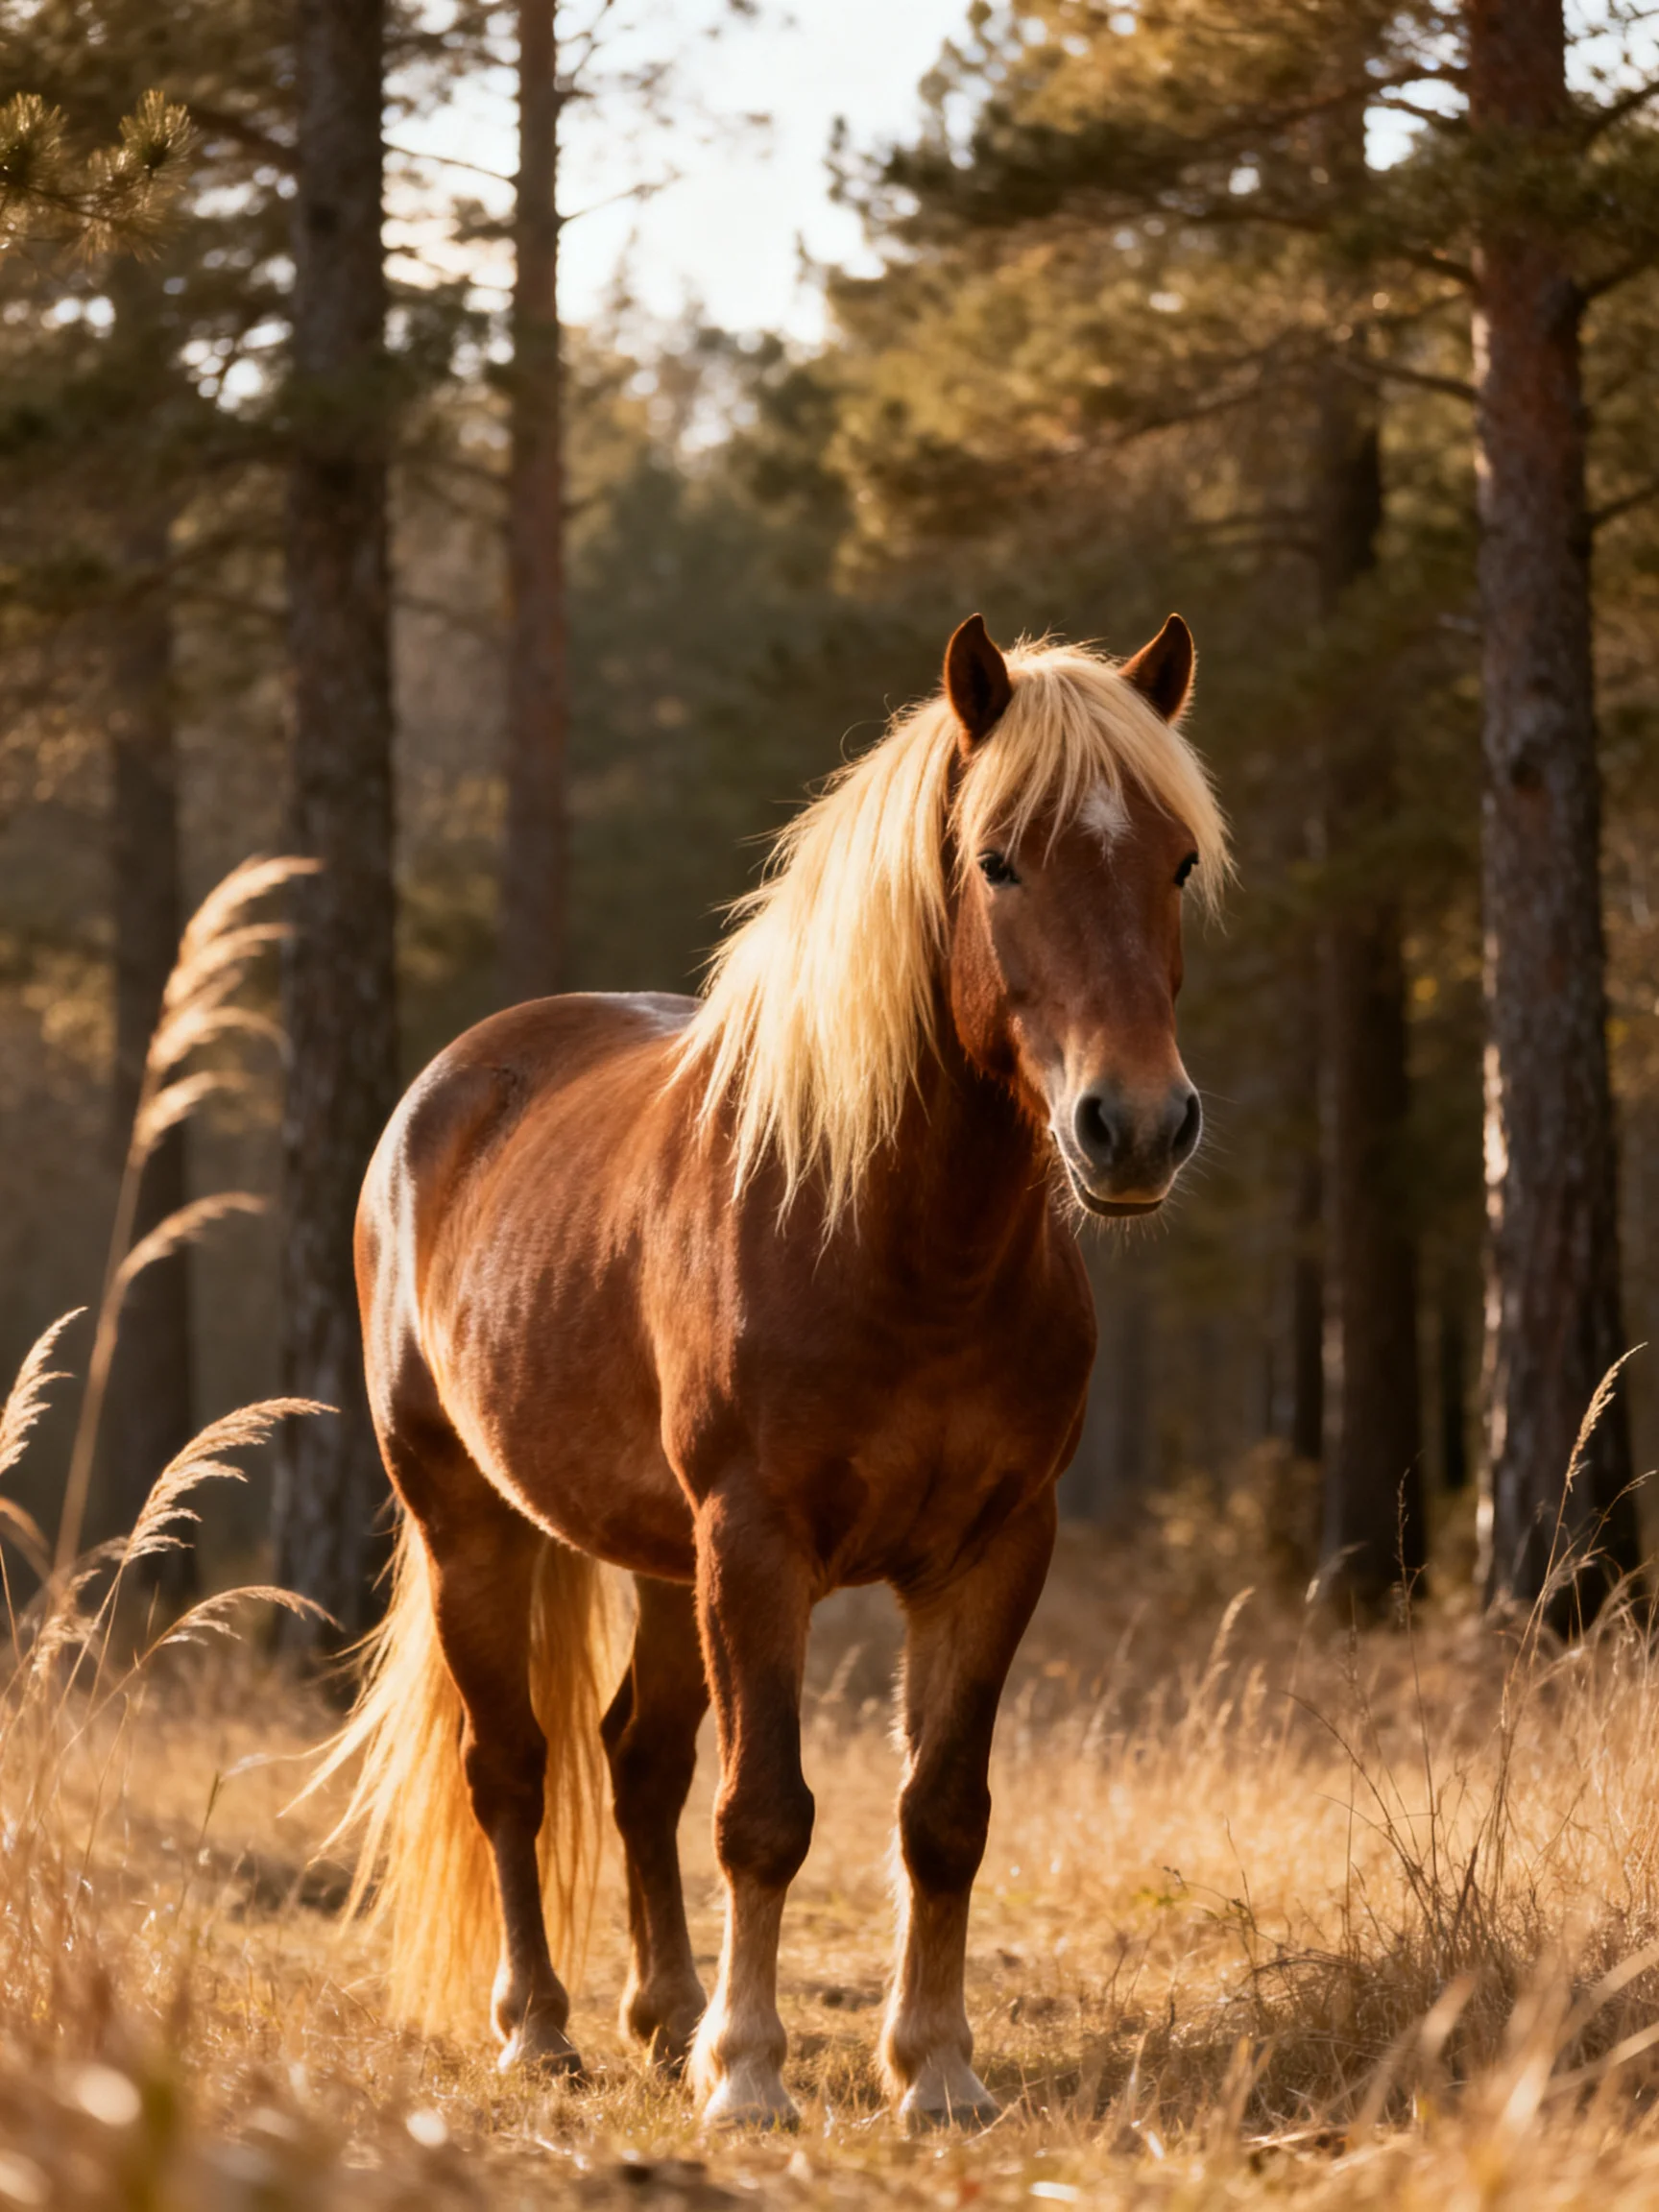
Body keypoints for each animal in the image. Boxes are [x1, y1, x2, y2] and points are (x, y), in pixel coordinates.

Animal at [318, 611, 1229, 2129]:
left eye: (1176, 861)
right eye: (1000, 859)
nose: (1139, 1125)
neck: (903, 1251)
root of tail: (450, 1089)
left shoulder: (994, 1550)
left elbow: (941, 1815)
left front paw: (937, 2071)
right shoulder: (757, 1544)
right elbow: (765, 1814)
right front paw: (749, 2074)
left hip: (658, 1559)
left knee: (637, 1761)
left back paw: (664, 2013)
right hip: (471, 1524)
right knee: (512, 1770)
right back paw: (542, 2028)